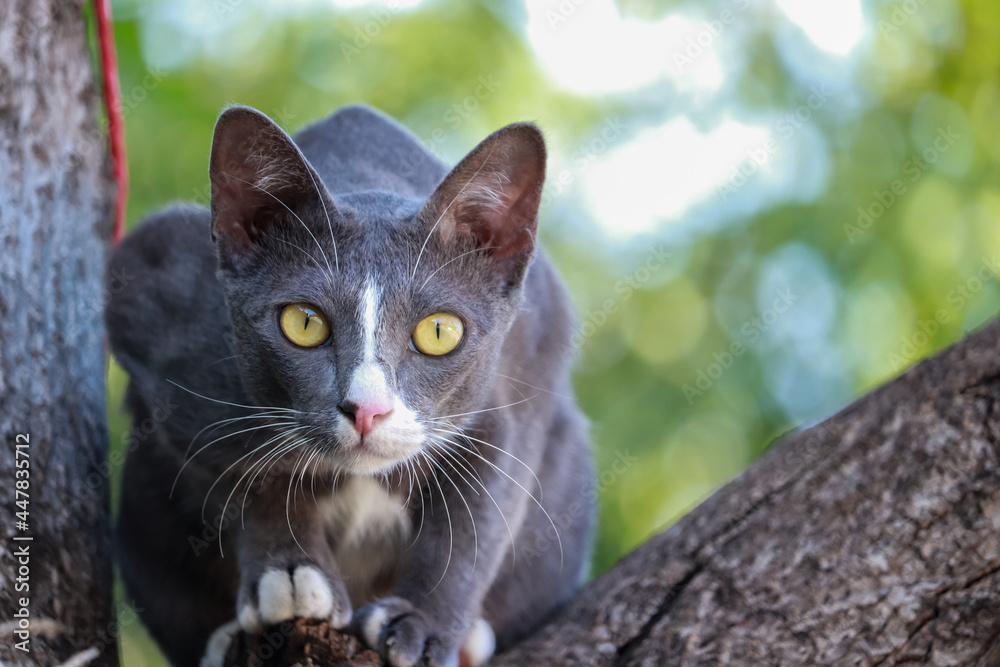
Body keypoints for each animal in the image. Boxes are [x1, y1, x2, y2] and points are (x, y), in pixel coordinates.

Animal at [107, 103, 592, 667]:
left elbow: (482, 512)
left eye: (439, 332)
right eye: (304, 323)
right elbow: (242, 467)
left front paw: (423, 625)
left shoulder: (532, 354)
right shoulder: (153, 296)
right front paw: (291, 575)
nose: (367, 408)